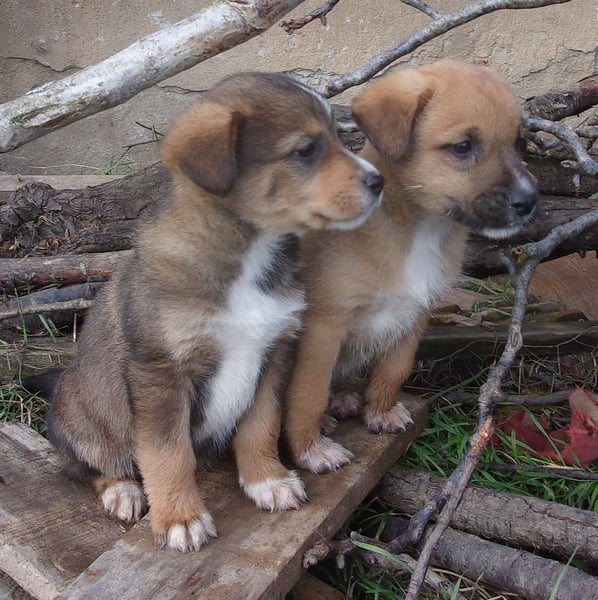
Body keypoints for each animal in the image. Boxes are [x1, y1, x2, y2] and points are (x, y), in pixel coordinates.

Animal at [32, 72, 383, 552]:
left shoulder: (272, 352)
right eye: (305, 150)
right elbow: (167, 453)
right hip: (86, 422)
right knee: (89, 466)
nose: (379, 182)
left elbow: (261, 426)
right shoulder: (160, 373)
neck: (248, 256)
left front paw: (267, 480)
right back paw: (123, 491)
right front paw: (180, 517)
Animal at [284, 60, 538, 473]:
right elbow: (308, 393)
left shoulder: (416, 314)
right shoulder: (324, 327)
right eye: (463, 146)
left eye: (519, 143)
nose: (529, 202)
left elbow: (394, 370)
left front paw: (381, 412)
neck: (419, 230)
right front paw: (311, 449)